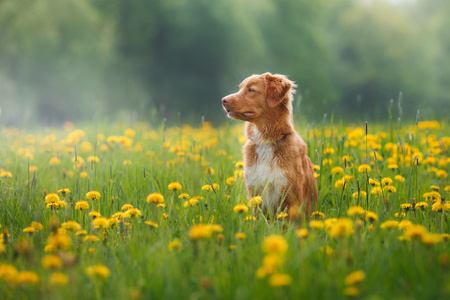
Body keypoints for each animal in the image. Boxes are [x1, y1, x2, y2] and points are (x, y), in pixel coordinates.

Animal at [221, 72, 316, 218]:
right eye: (240, 88)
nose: (223, 100)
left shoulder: (289, 196)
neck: (266, 142)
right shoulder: (255, 191)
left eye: (251, 90)